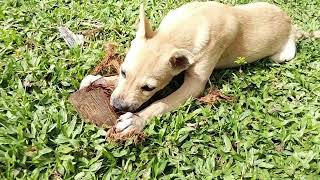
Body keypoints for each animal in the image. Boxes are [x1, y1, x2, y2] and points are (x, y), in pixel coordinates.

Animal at [81, 1, 296, 136]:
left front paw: (136, 120)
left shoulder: (194, 86)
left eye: (149, 88)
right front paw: (99, 80)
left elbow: (160, 104)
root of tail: (291, 22)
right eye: (123, 72)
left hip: (283, 55)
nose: (117, 107)